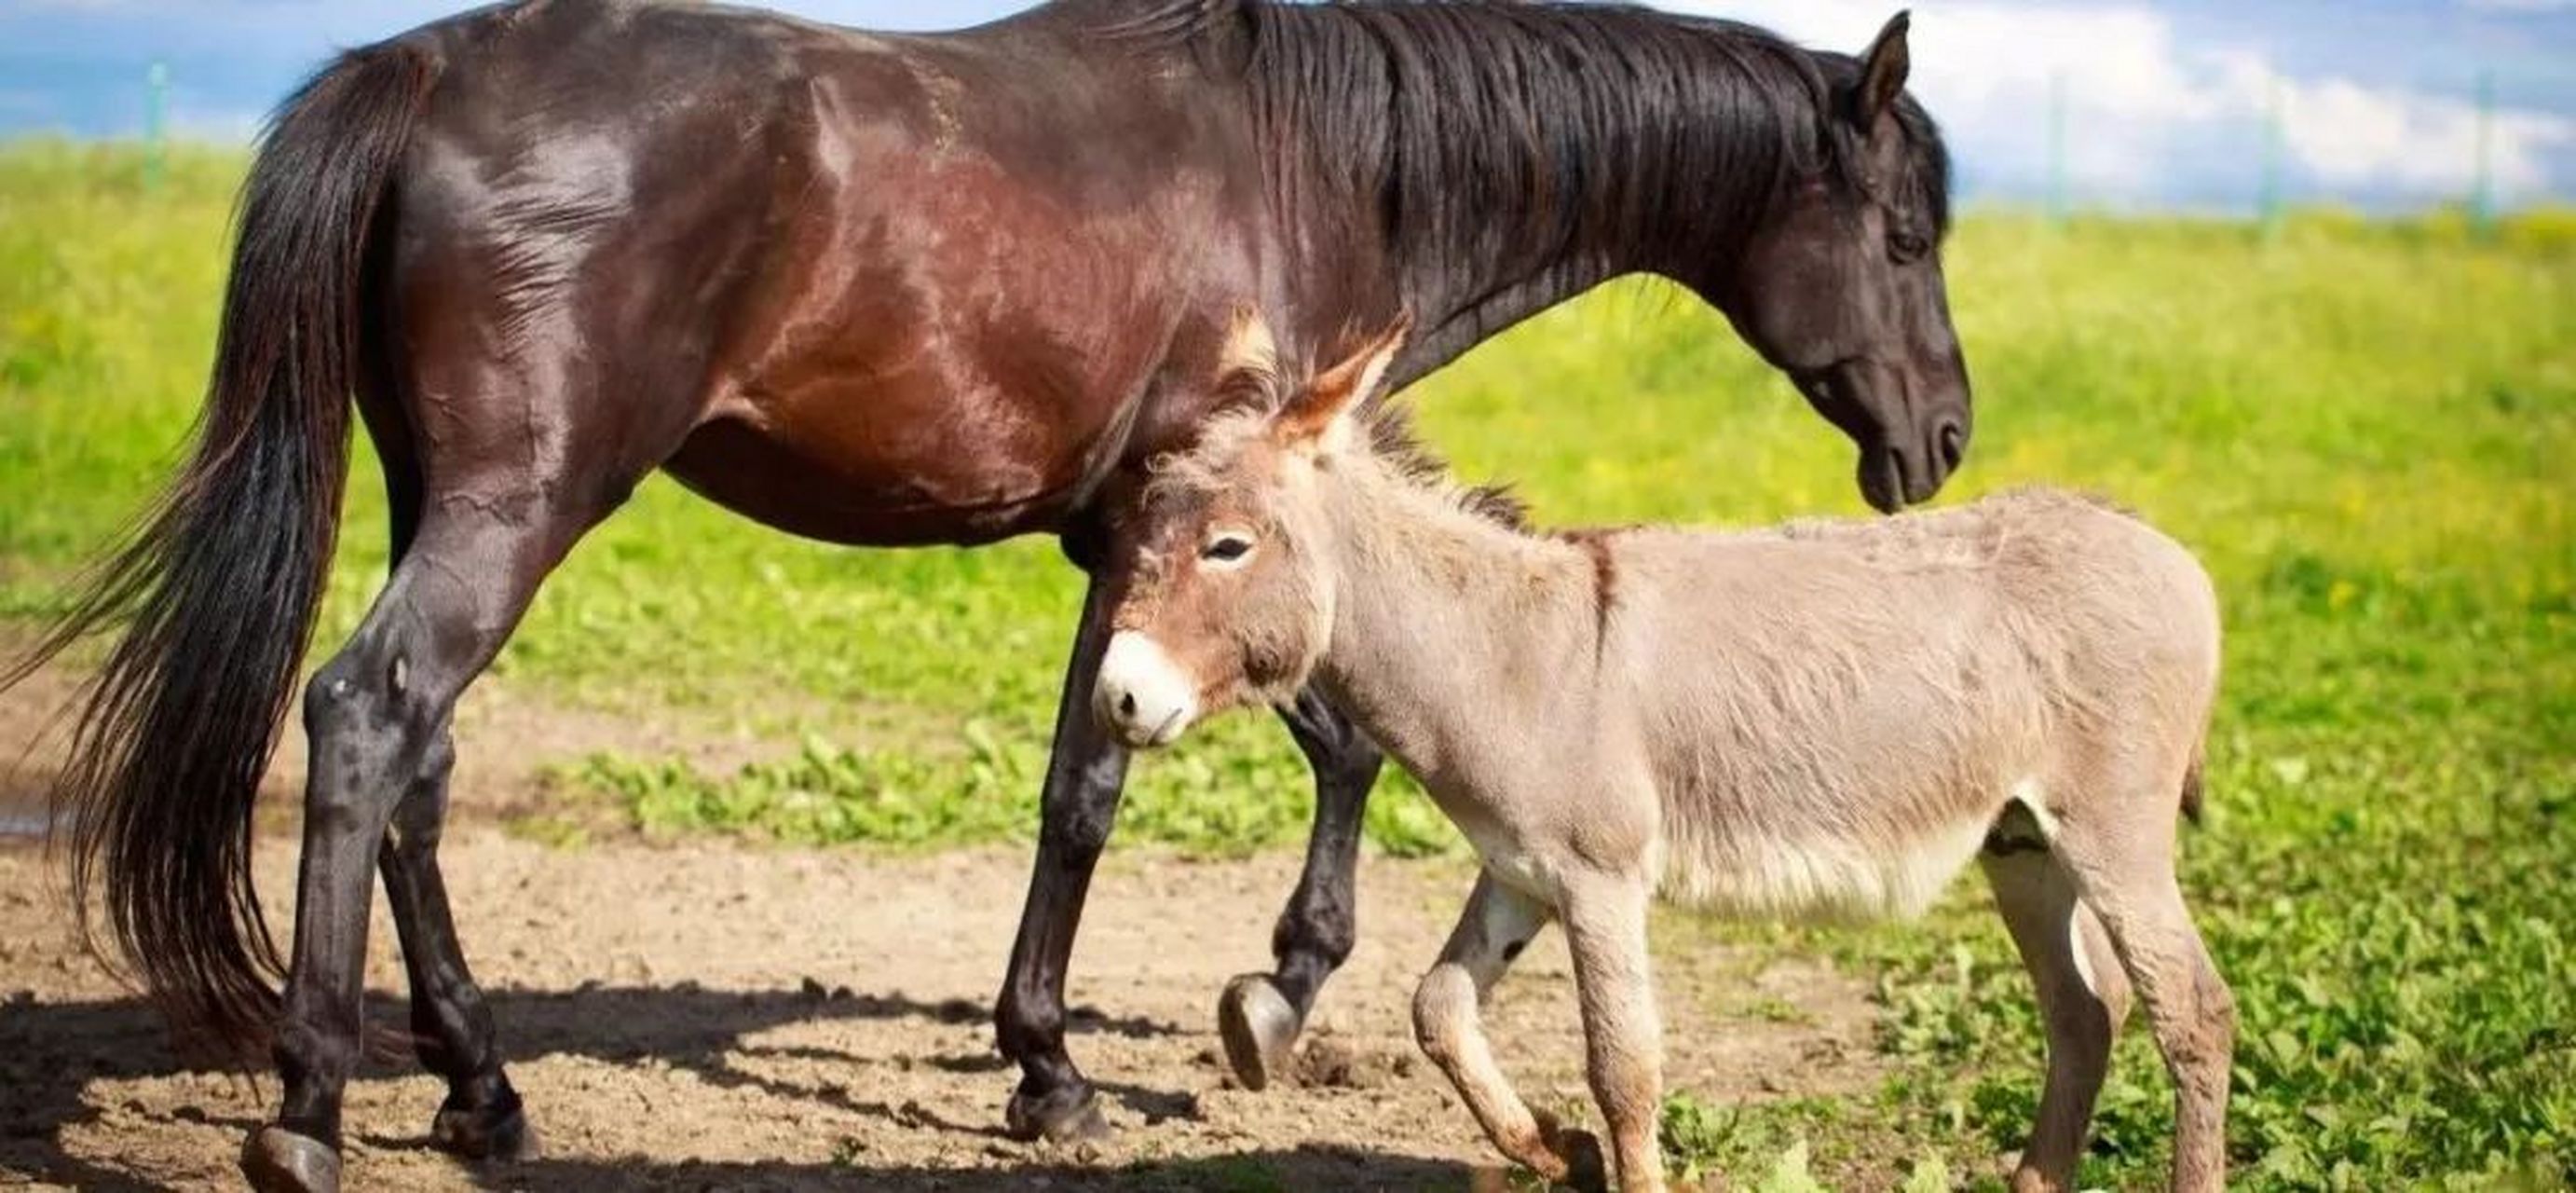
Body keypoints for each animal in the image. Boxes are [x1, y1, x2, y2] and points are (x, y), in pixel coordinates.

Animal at [5, 2, 1968, 1185]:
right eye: (1904, 231)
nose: (1941, 436)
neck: (1310, 148)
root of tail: (425, 69)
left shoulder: (1181, 538)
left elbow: (1254, 750)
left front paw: (1220, 1009)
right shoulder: (1173, 523)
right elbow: (1140, 780)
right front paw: (1118, 1048)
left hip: (455, 505)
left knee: (421, 767)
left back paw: (482, 1089)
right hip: (517, 507)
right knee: (366, 717)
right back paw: (312, 1110)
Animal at [1092, 319, 2236, 1193]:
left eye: (1228, 546)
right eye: (1146, 535)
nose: (1117, 697)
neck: (1508, 648)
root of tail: (2170, 551)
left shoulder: (1600, 878)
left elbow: (1624, 1066)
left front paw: (1598, 1147)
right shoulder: (1520, 869)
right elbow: (1439, 1007)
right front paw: (1555, 1149)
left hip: (2112, 831)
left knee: (2191, 1011)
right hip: (2020, 844)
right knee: (2085, 1013)